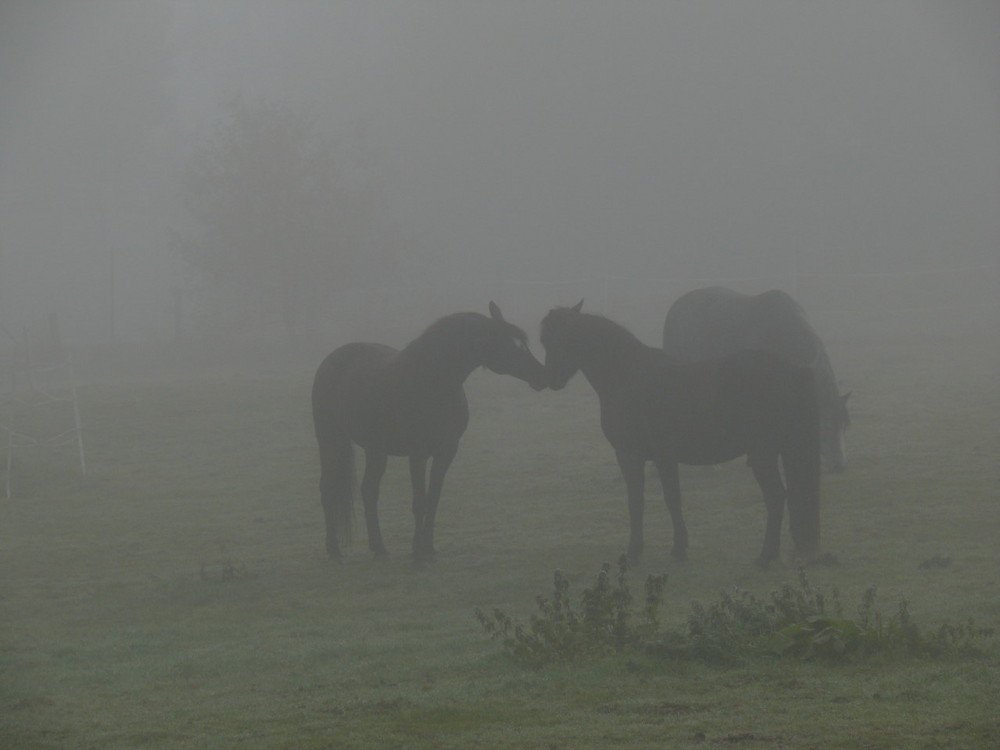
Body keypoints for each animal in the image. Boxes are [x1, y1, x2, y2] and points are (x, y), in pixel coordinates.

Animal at [312, 304, 548, 564]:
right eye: (510, 344)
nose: (542, 376)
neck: (433, 380)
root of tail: (332, 360)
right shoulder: (418, 454)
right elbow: (420, 501)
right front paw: (417, 552)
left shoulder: (446, 452)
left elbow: (433, 499)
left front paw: (429, 547)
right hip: (329, 438)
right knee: (328, 488)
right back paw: (334, 549)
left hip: (376, 449)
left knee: (369, 491)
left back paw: (379, 548)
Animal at [544, 302, 824, 568]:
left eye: (563, 338)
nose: (550, 379)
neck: (629, 376)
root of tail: (787, 369)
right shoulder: (664, 458)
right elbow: (673, 499)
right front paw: (679, 548)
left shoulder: (628, 456)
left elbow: (636, 502)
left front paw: (634, 552)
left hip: (762, 455)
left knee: (775, 497)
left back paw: (765, 557)